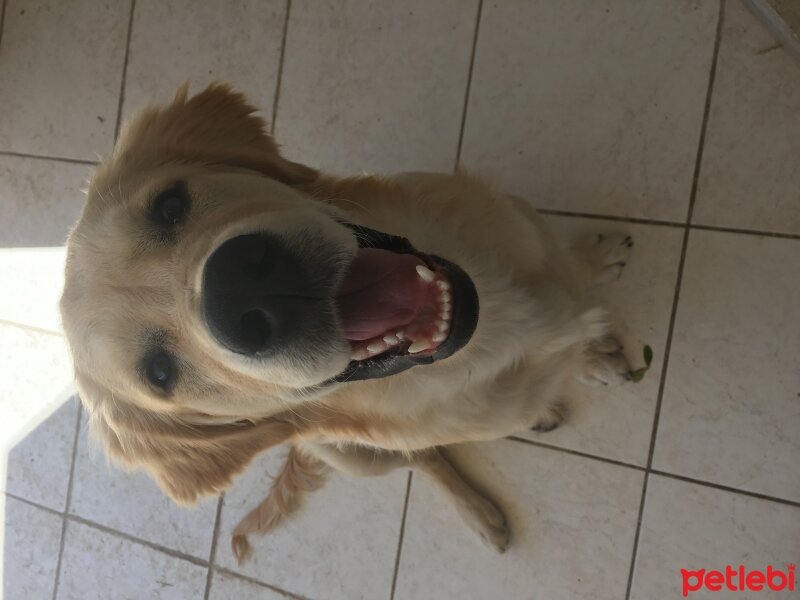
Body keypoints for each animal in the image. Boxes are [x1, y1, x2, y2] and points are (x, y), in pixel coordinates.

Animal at [59, 82, 636, 560]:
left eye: (170, 205)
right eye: (160, 373)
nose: (240, 289)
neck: (497, 315)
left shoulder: (524, 225)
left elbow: (571, 272)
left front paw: (597, 281)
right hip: (356, 457)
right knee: (422, 457)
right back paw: (481, 511)